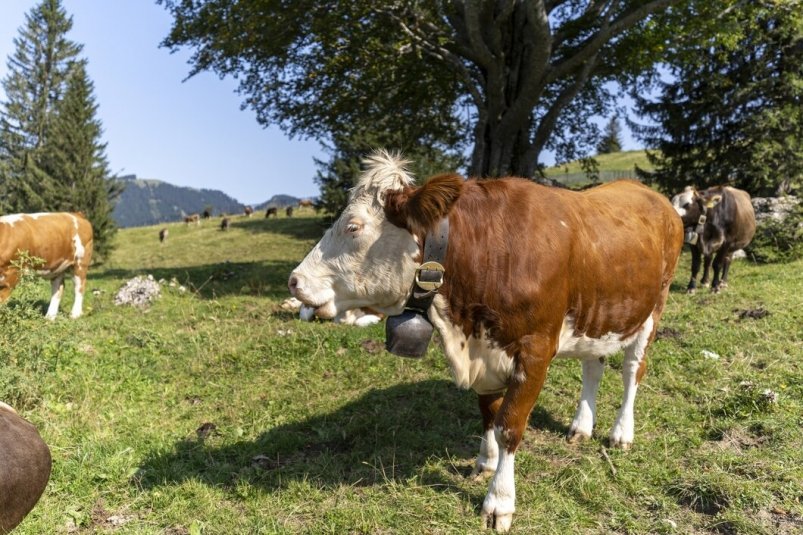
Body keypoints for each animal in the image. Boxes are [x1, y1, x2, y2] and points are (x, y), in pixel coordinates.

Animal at [288, 151, 684, 532]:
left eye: (353, 227)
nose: (294, 280)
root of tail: (645, 191)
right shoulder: (486, 350)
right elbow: (488, 414)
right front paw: (486, 461)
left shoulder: (536, 350)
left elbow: (509, 425)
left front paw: (499, 501)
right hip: (599, 314)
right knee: (593, 367)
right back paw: (581, 426)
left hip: (653, 310)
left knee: (632, 371)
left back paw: (621, 432)